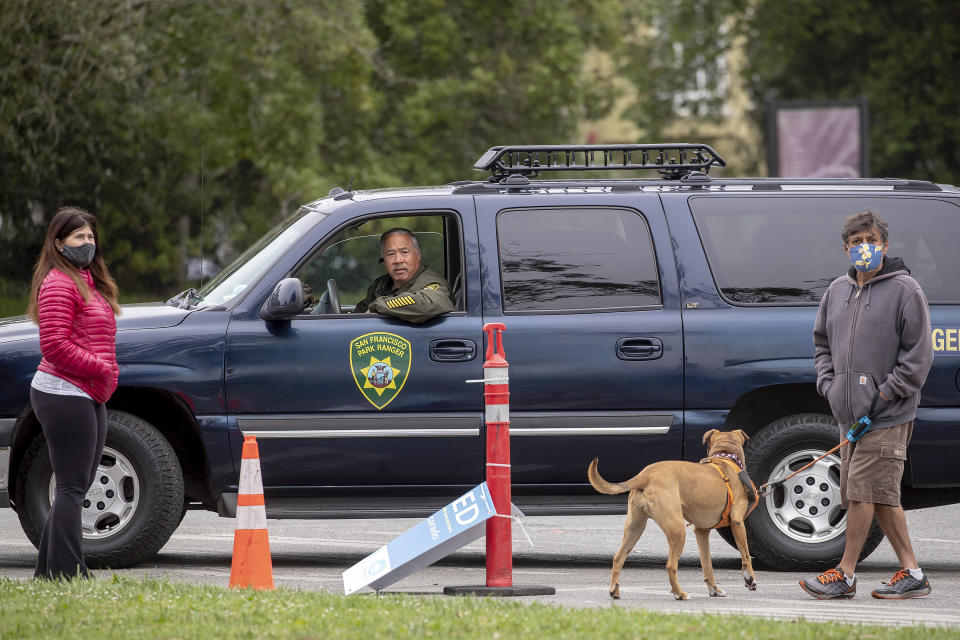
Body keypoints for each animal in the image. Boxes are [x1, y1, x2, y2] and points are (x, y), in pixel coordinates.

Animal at [584, 430, 756, 600]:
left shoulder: (701, 532)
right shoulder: (737, 522)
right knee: (670, 565)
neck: (726, 457)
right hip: (677, 529)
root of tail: (646, 475)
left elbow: (707, 564)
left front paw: (714, 589)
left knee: (618, 558)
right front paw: (750, 579)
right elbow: (746, 554)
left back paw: (615, 590)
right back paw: (679, 593)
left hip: (635, 529)